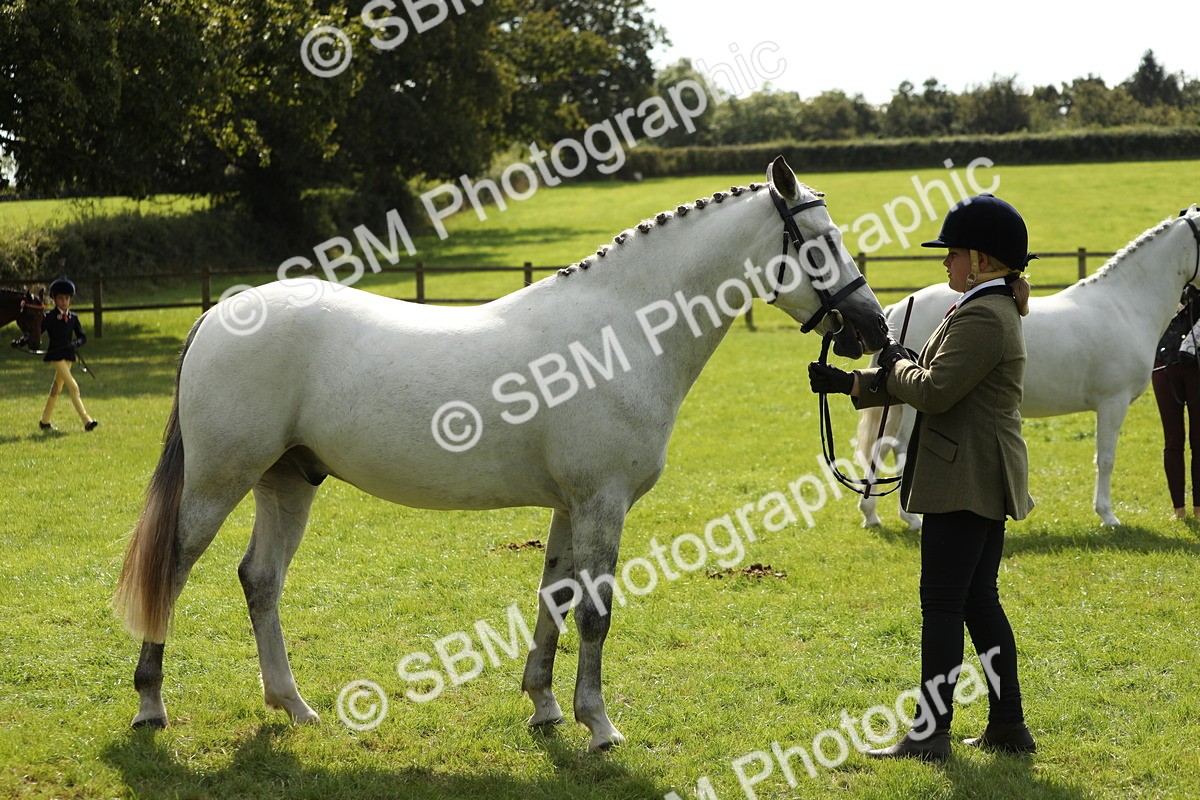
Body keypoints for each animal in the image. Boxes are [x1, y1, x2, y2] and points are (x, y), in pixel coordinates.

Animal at [113, 157, 890, 752]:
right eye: (819, 242)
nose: (873, 329)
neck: (619, 331)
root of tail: (221, 312)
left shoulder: (571, 506)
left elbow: (555, 597)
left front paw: (545, 708)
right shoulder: (602, 502)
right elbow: (596, 613)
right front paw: (599, 725)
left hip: (288, 481)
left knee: (260, 579)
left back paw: (294, 707)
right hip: (219, 481)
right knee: (173, 571)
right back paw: (151, 706)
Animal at [855, 205, 1200, 530]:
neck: (1125, 305)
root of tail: (899, 306)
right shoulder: (1112, 402)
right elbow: (1106, 459)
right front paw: (1107, 515)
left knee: (882, 448)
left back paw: (872, 514)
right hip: (911, 406)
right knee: (899, 448)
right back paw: (910, 518)